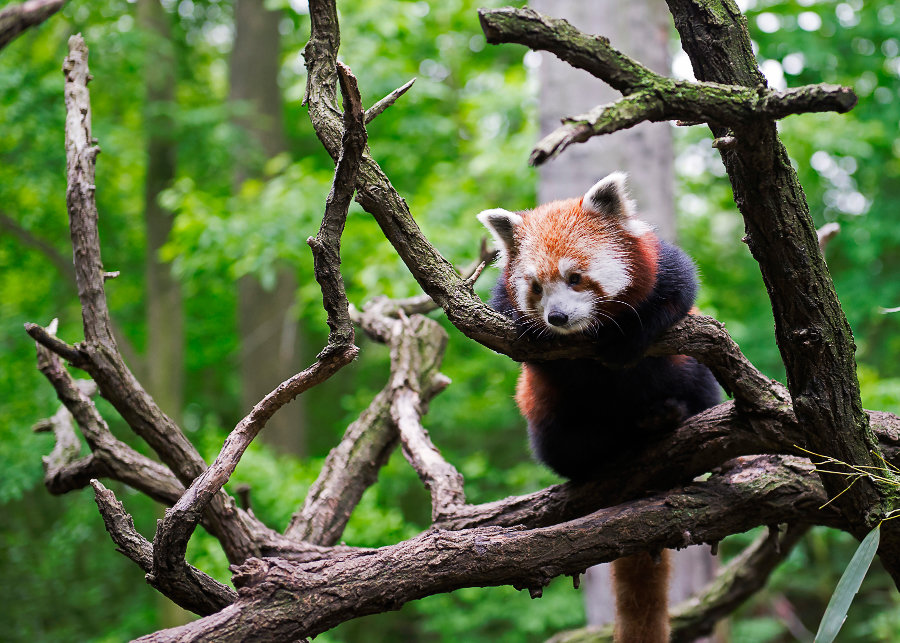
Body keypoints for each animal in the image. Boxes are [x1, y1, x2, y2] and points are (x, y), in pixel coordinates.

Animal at [478, 171, 716, 643]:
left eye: (576, 278)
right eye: (536, 287)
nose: (556, 318)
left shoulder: (662, 267)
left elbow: (678, 294)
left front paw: (626, 342)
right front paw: (529, 330)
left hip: (690, 374)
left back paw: (666, 419)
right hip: (548, 412)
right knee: (563, 445)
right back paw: (606, 448)